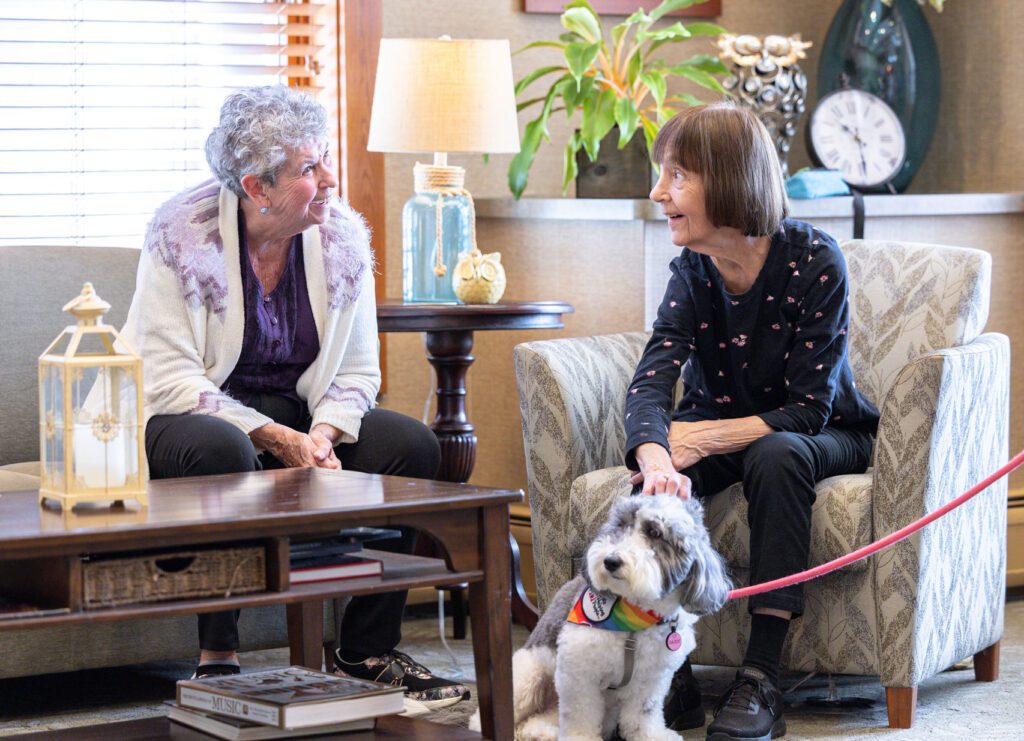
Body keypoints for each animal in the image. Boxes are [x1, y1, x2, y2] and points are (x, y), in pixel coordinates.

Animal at [505, 495, 729, 741]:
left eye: (655, 532)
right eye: (620, 525)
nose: (610, 561)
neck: (634, 621)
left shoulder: (651, 679)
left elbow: (643, 715)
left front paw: (651, 735)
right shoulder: (578, 672)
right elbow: (580, 715)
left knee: (536, 721)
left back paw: (542, 733)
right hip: (528, 677)